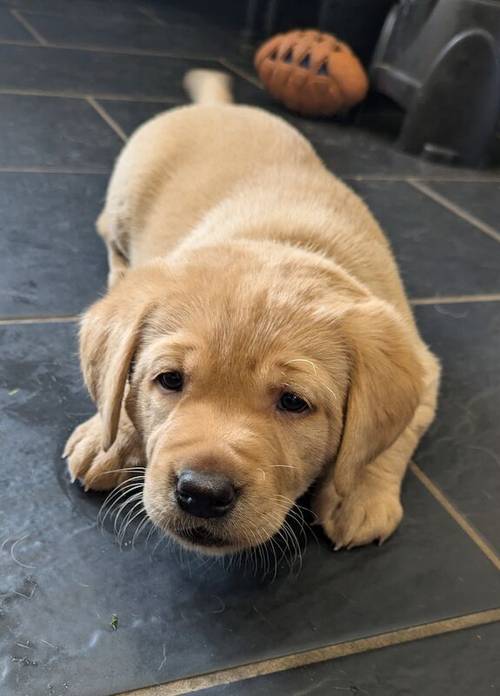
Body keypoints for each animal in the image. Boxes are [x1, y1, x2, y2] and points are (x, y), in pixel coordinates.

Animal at [64, 70, 440, 556]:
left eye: (294, 402)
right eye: (170, 380)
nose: (202, 492)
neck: (284, 242)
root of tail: (218, 106)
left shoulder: (424, 367)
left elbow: (394, 438)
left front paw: (356, 490)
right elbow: (119, 389)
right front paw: (108, 439)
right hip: (126, 192)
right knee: (109, 234)